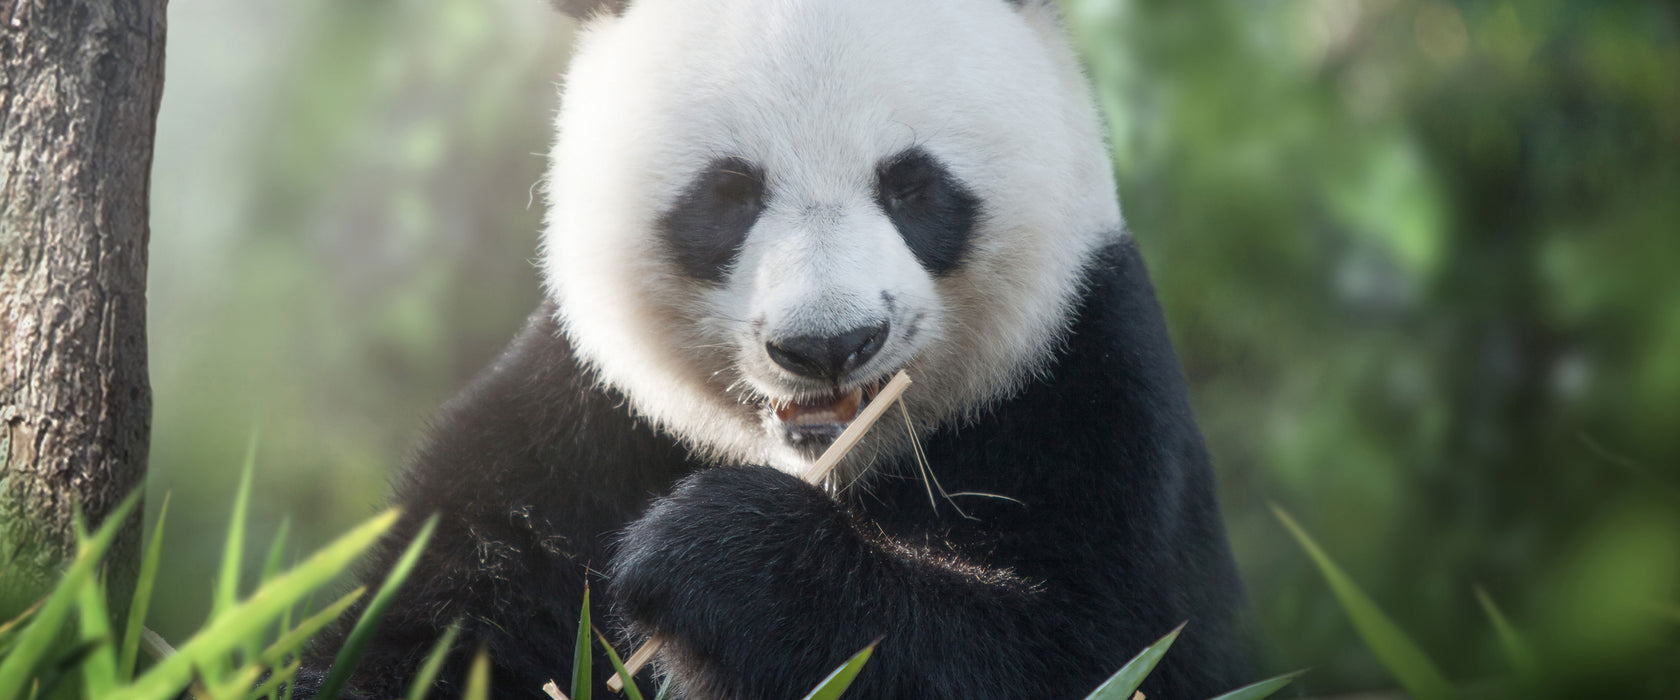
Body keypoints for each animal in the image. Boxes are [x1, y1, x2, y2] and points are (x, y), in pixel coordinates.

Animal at [299, 0, 1249, 694]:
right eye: (729, 193)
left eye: (912, 186)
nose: (829, 345)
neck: (832, 464)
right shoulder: (576, 427)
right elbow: (425, 622)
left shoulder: (1085, 390)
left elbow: (1092, 650)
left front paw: (713, 558)